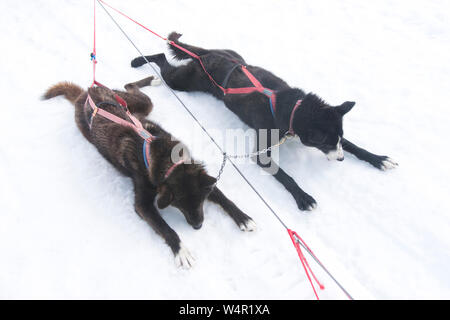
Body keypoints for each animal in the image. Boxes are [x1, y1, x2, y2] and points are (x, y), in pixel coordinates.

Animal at [43, 77, 255, 268]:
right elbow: (165, 227)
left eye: (200, 201)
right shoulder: (142, 205)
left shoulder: (201, 176)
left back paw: (152, 80)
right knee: (129, 85)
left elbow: (224, 198)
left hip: (140, 104)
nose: (198, 227)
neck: (167, 160)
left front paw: (243, 217)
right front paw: (181, 250)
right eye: (179, 204)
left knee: (131, 86)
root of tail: (86, 93)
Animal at [130, 32, 398, 212]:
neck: (293, 110)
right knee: (162, 58)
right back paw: (138, 61)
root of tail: (207, 56)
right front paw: (302, 196)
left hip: (229, 56)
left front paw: (378, 159)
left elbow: (355, 146)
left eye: (337, 140)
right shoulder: (262, 153)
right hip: (181, 82)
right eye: (326, 144)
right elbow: (285, 175)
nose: (341, 160)